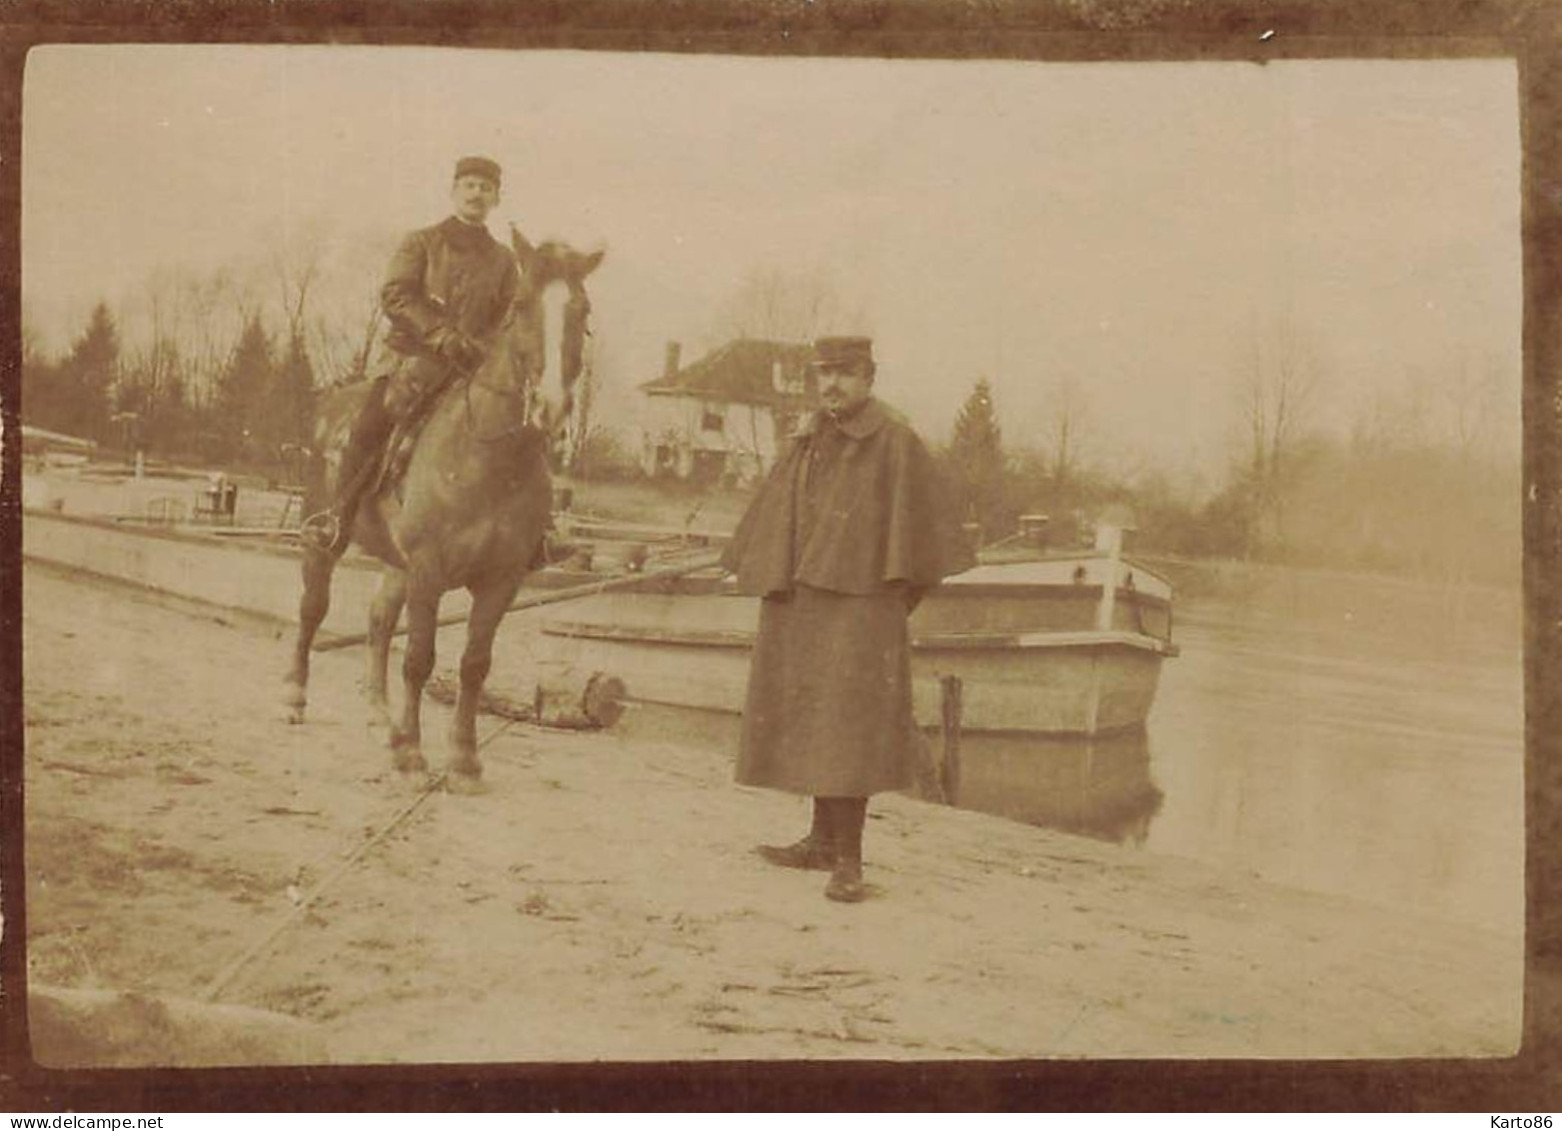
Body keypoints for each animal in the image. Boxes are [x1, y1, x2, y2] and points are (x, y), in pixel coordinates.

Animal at [284, 224, 599, 790]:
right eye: (521, 305)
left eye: (581, 310)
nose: (551, 407)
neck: (490, 461)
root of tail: (328, 405)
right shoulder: (429, 570)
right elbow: (419, 659)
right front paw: (412, 753)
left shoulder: (500, 580)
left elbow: (475, 664)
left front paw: (463, 759)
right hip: (324, 540)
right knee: (313, 609)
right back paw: (297, 696)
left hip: (396, 564)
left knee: (379, 620)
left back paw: (380, 717)